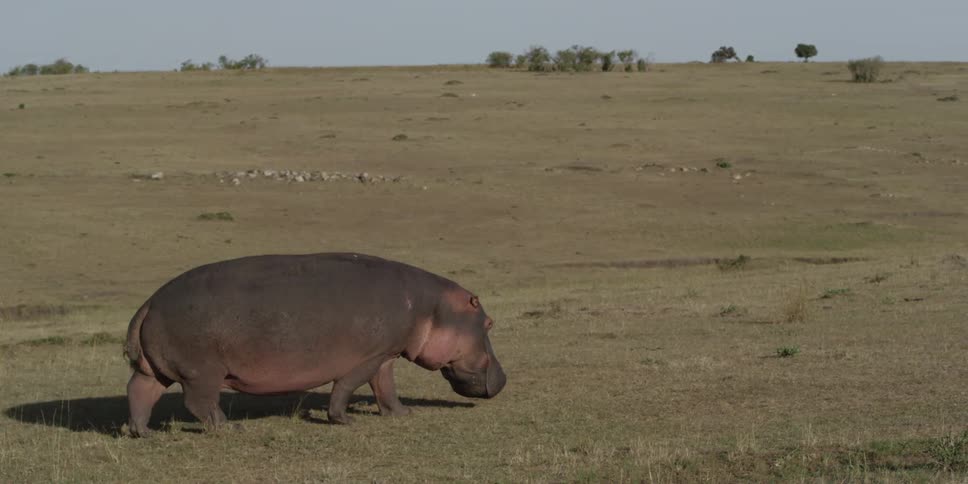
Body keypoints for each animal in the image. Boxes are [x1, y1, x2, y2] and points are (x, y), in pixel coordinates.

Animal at [123, 252, 505, 437]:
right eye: (489, 323)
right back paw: (232, 429)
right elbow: (348, 386)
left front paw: (402, 413)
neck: (433, 307)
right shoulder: (369, 357)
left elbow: (386, 388)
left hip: (155, 370)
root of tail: (150, 303)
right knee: (200, 402)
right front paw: (344, 421)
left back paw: (145, 434)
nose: (504, 378)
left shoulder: (387, 354)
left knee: (140, 391)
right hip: (202, 371)